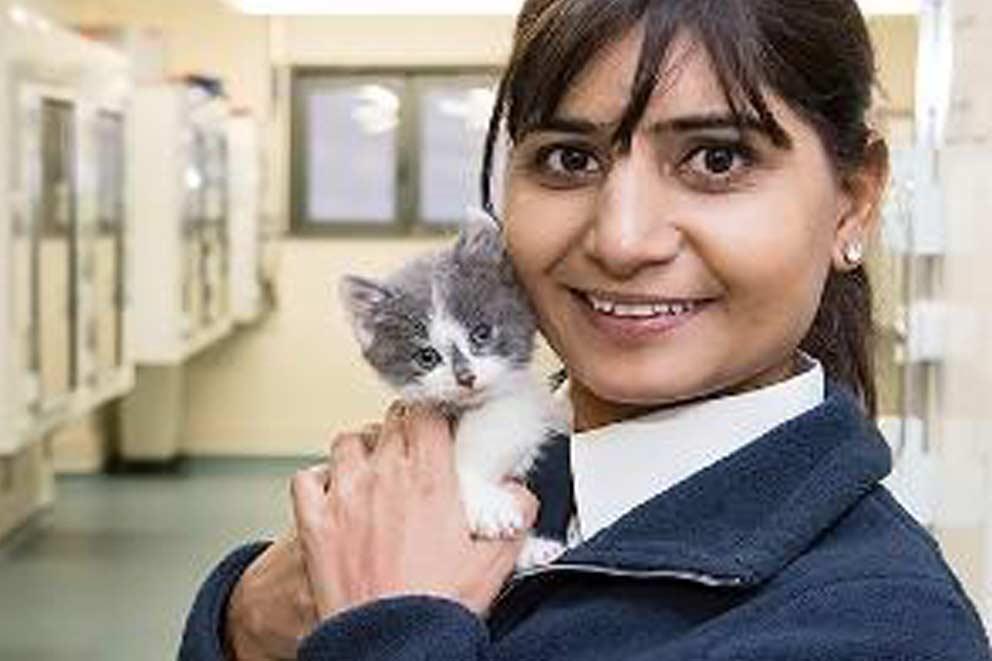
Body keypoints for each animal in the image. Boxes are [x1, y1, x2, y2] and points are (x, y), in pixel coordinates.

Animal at [340, 208, 568, 568]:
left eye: (481, 333)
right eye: (426, 356)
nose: (466, 377)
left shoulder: (520, 403)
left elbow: (500, 426)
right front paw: (488, 504)